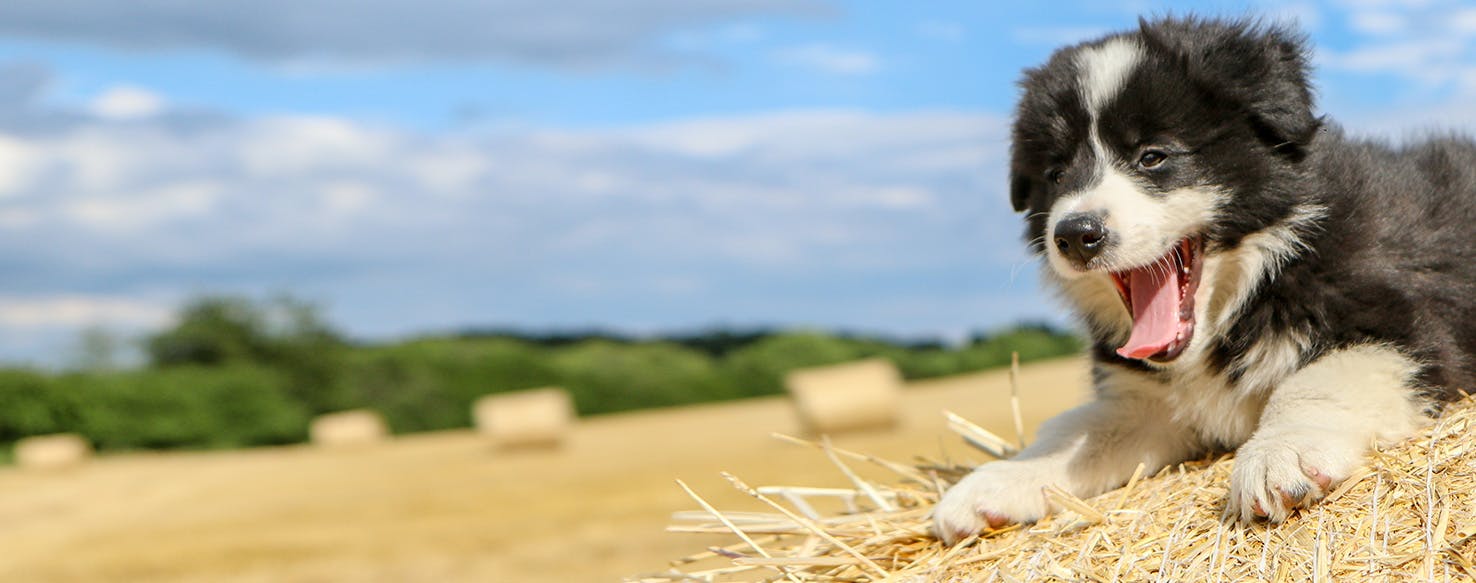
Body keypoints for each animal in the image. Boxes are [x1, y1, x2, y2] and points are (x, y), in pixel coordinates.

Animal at [932, 18, 1476, 549]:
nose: (1074, 235)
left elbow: (1315, 382)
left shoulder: (1396, 323)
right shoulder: (1148, 404)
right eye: (1057, 172)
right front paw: (995, 481)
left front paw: (1279, 456)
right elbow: (1079, 429)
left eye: (1152, 156)